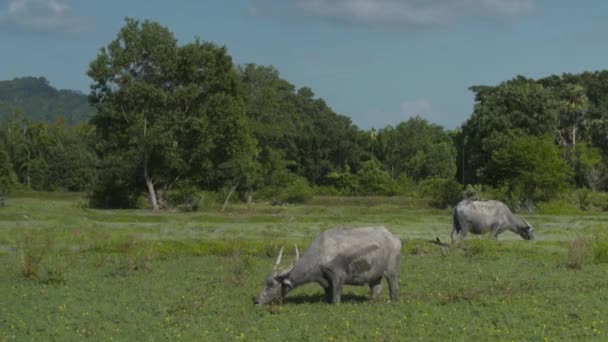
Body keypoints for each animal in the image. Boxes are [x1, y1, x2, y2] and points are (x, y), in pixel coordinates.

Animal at [254, 227, 402, 304]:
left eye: (271, 284)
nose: (257, 301)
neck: (321, 253)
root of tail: (395, 238)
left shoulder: (338, 276)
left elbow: (336, 295)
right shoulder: (324, 281)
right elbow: (328, 293)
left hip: (391, 269)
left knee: (393, 285)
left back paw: (392, 300)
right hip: (374, 275)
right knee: (376, 288)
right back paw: (371, 302)